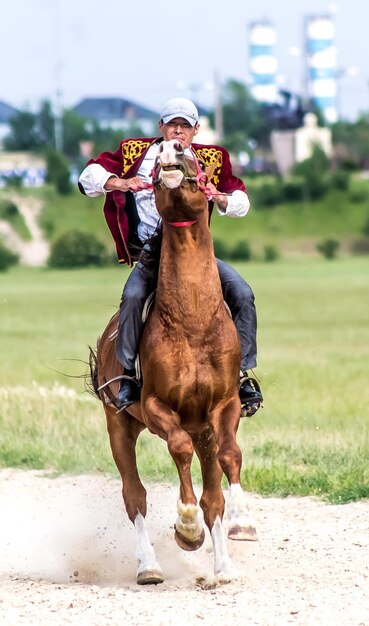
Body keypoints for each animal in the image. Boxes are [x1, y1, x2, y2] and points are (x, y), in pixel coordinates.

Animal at [90, 139, 256, 584]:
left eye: (198, 158)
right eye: (150, 167)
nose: (173, 147)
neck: (192, 319)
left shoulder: (224, 407)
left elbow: (230, 458)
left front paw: (242, 521)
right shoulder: (155, 406)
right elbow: (177, 449)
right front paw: (186, 526)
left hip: (205, 431)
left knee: (212, 493)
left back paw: (223, 566)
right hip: (119, 425)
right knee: (135, 496)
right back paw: (148, 565)